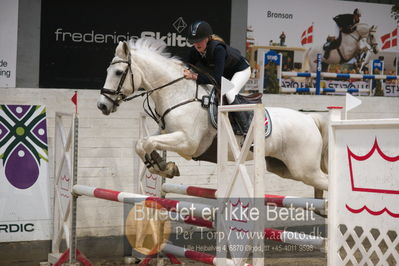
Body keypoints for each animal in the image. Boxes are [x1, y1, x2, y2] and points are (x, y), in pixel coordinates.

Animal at [98, 38, 330, 193]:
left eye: (118, 73)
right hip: (285, 168)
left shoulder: (188, 143)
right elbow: (142, 143)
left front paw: (163, 166)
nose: (102, 105)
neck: (178, 94)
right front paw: (162, 166)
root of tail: (309, 119)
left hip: (304, 168)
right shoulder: (164, 133)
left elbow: (147, 143)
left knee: (329, 181)